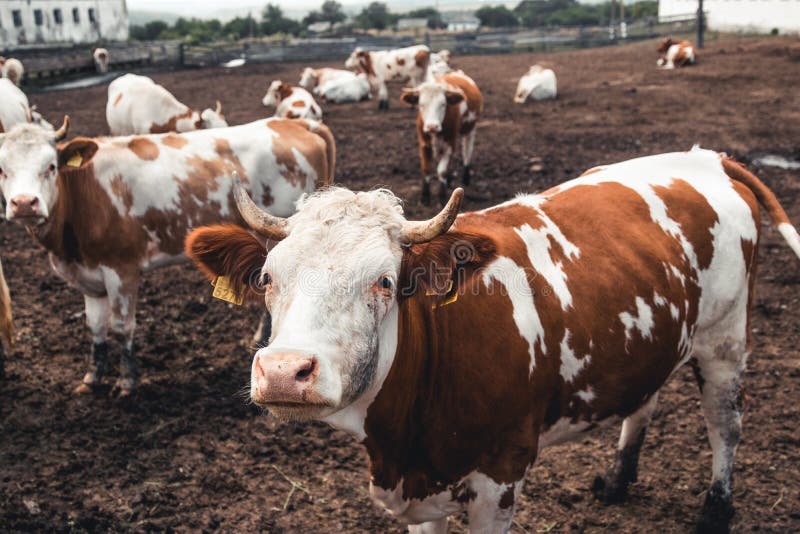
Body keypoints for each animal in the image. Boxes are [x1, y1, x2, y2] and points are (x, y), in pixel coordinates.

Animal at [0, 116, 335, 396]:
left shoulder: (121, 270)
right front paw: (92, 377)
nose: (24, 203)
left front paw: (127, 381)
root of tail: (295, 122)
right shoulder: (89, 278)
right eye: (2, 170)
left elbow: (121, 326)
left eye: (50, 167)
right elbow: (95, 327)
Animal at [185, 147, 800, 533]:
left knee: (725, 423)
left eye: (384, 280)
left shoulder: (501, 477)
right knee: (643, 399)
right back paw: (617, 481)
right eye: (268, 278)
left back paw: (716, 510)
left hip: (725, 339)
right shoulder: (421, 493)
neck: (402, 443)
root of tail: (705, 158)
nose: (284, 371)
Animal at [400, 70, 483, 205]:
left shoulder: (450, 143)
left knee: (467, 149)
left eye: (443, 104)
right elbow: (427, 169)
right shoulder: (424, 144)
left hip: (470, 128)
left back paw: (466, 177)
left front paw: (442, 195)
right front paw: (425, 197)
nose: (432, 126)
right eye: (421, 104)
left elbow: (442, 171)